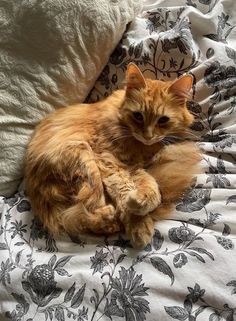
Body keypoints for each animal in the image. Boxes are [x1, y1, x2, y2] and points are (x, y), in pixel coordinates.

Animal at [25, 63, 201, 248]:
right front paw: (138, 224)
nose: (147, 136)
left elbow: (152, 188)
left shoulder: (134, 166)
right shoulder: (108, 160)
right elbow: (123, 190)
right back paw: (112, 219)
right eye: (138, 116)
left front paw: (140, 202)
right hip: (86, 164)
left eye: (163, 120)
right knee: (84, 214)